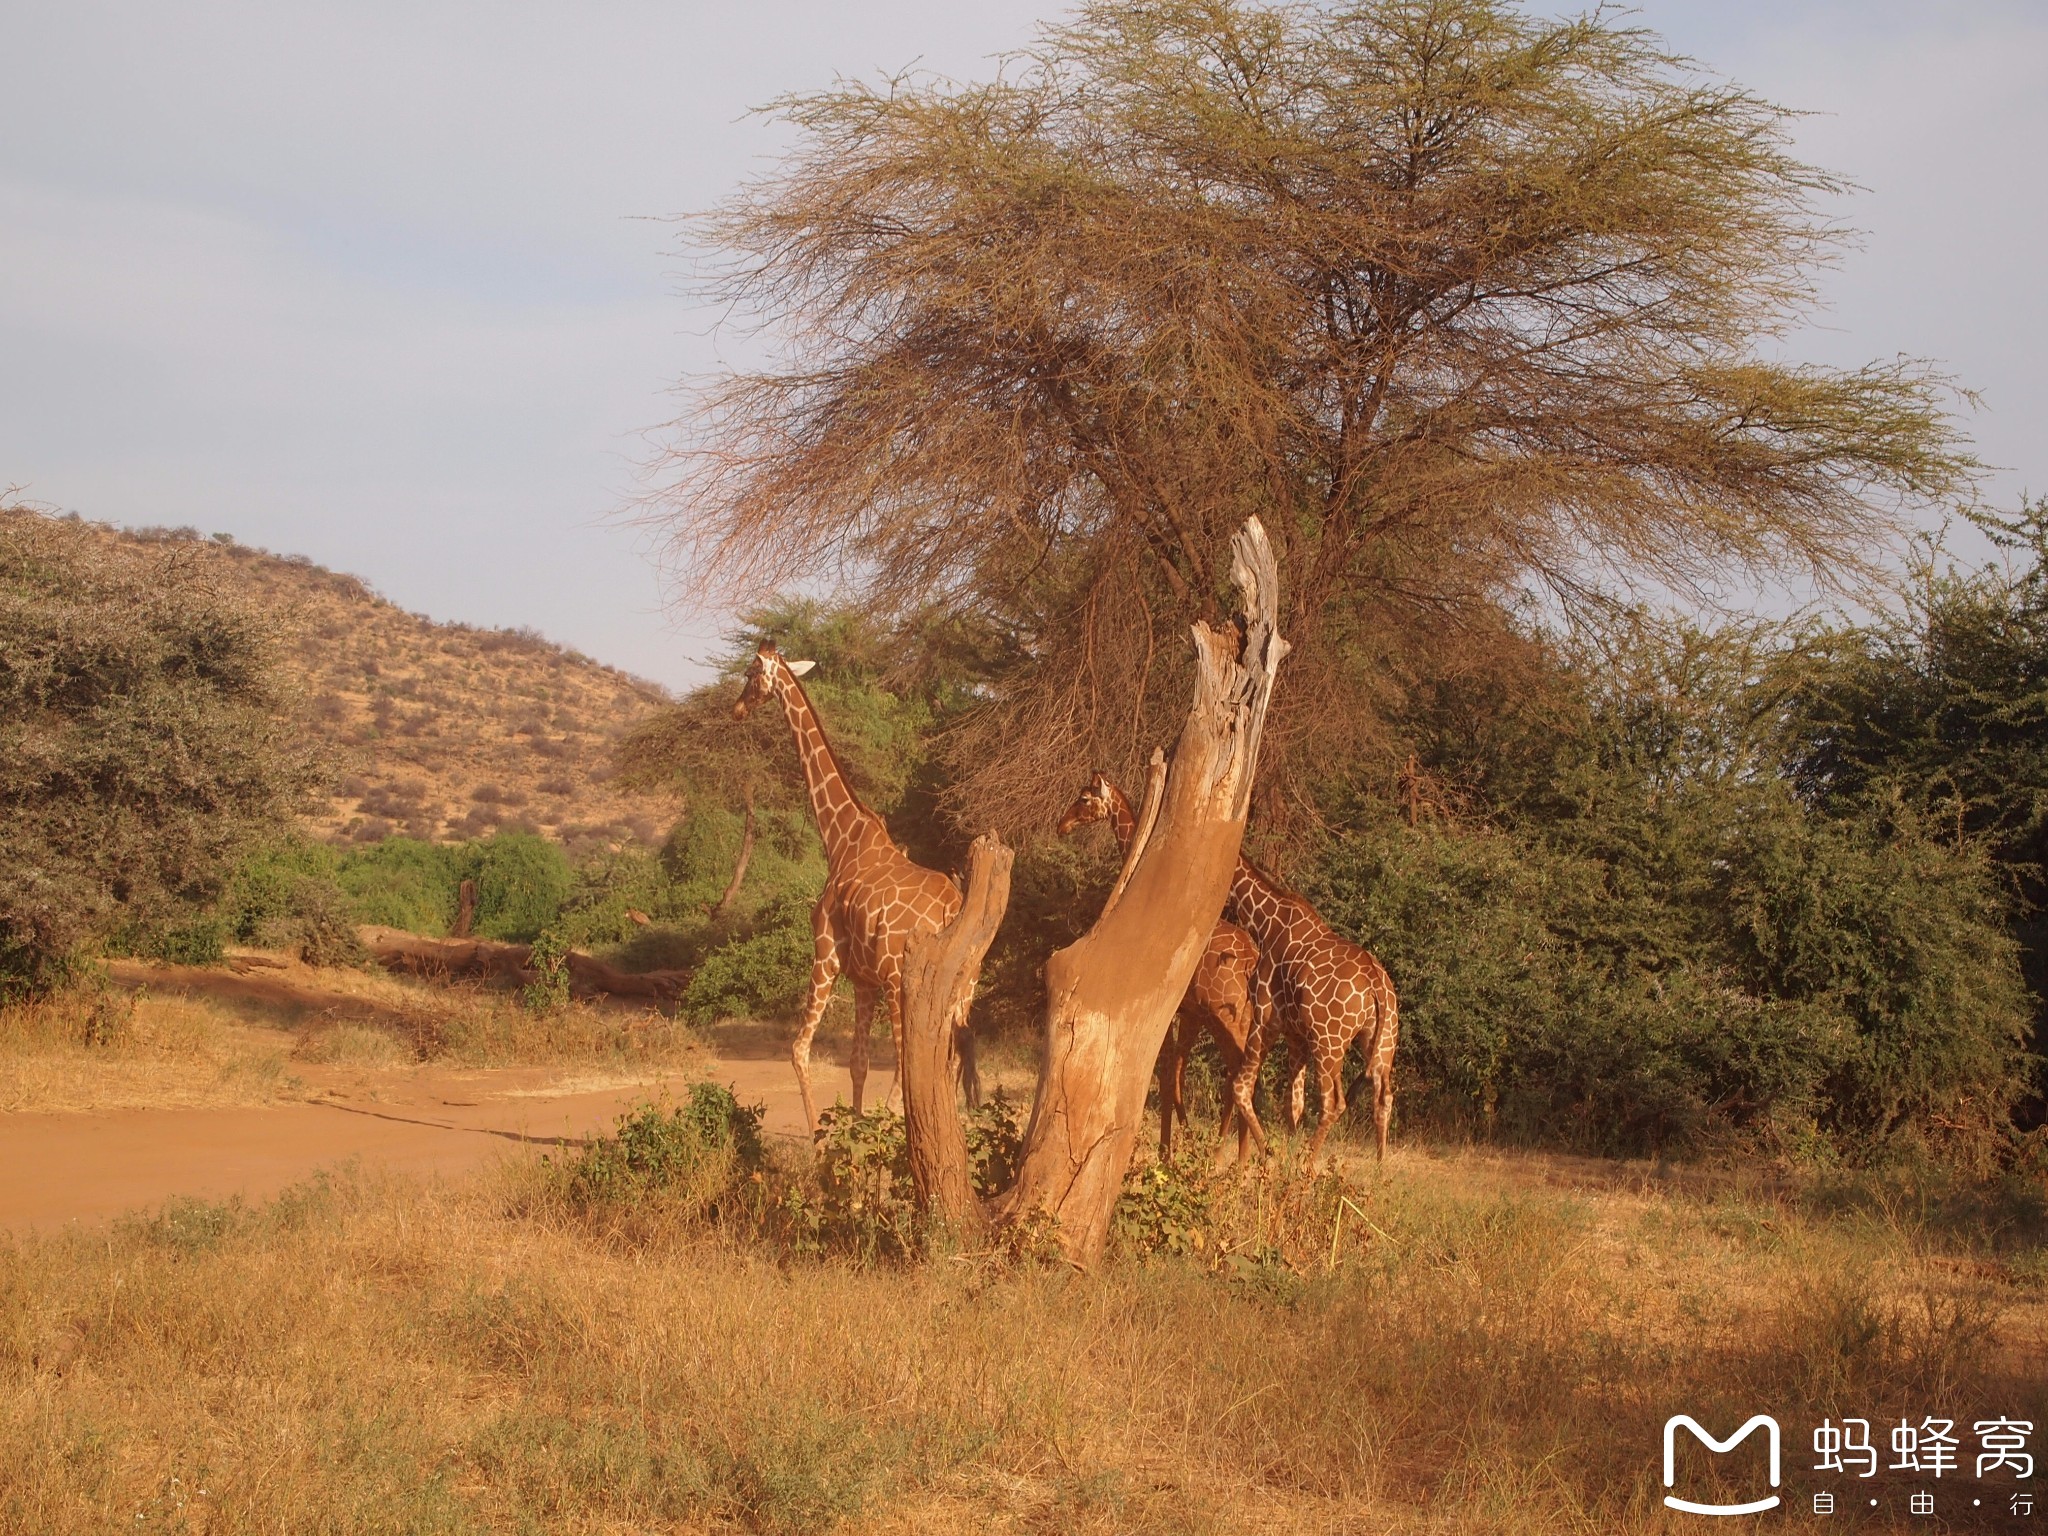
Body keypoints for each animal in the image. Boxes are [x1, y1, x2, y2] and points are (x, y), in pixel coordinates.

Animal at [733, 643, 962, 1138]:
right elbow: (858, 1063)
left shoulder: (827, 954)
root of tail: (950, 909)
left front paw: (820, 1142)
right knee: (947, 1064)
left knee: (906, 1063)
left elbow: (799, 1049)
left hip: (903, 981)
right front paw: (854, 1134)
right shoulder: (864, 980)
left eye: (750, 674)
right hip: (960, 992)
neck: (839, 837)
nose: (737, 708)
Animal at [1056, 774, 1294, 1163]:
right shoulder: (1190, 1013)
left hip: (1226, 1017)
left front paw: (1168, 1149)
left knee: (1238, 1074)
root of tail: (1250, 961)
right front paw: (1182, 1140)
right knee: (1242, 1074)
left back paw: (1238, 1156)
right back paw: (1235, 1156)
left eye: (1085, 798)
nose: (1062, 825)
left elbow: (1166, 1074)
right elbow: (1177, 1075)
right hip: (1243, 1019)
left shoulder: (1166, 1008)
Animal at [1220, 860, 1400, 1171]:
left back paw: (1307, 1165)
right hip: (1381, 1039)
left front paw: (1272, 1157)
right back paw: (1380, 1168)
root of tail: (1376, 982)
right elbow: (1293, 1103)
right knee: (1383, 1096)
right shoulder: (1296, 1034)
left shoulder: (1265, 1019)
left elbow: (1242, 1087)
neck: (1266, 923)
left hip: (1328, 1043)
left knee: (1333, 1102)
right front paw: (1286, 1155)